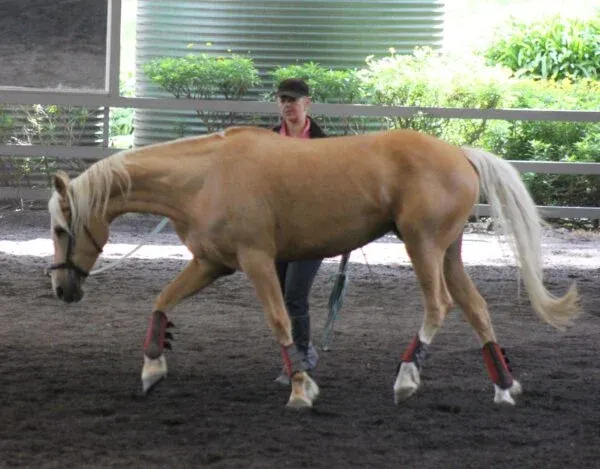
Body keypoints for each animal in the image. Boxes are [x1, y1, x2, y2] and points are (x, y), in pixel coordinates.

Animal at [48, 126, 580, 408]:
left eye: (58, 228)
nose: (62, 290)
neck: (205, 177)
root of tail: (460, 153)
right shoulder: (212, 263)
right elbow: (162, 301)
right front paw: (153, 365)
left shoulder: (257, 260)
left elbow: (280, 320)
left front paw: (301, 388)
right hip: (448, 252)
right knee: (477, 308)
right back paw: (503, 386)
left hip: (423, 246)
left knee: (439, 306)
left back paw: (407, 377)